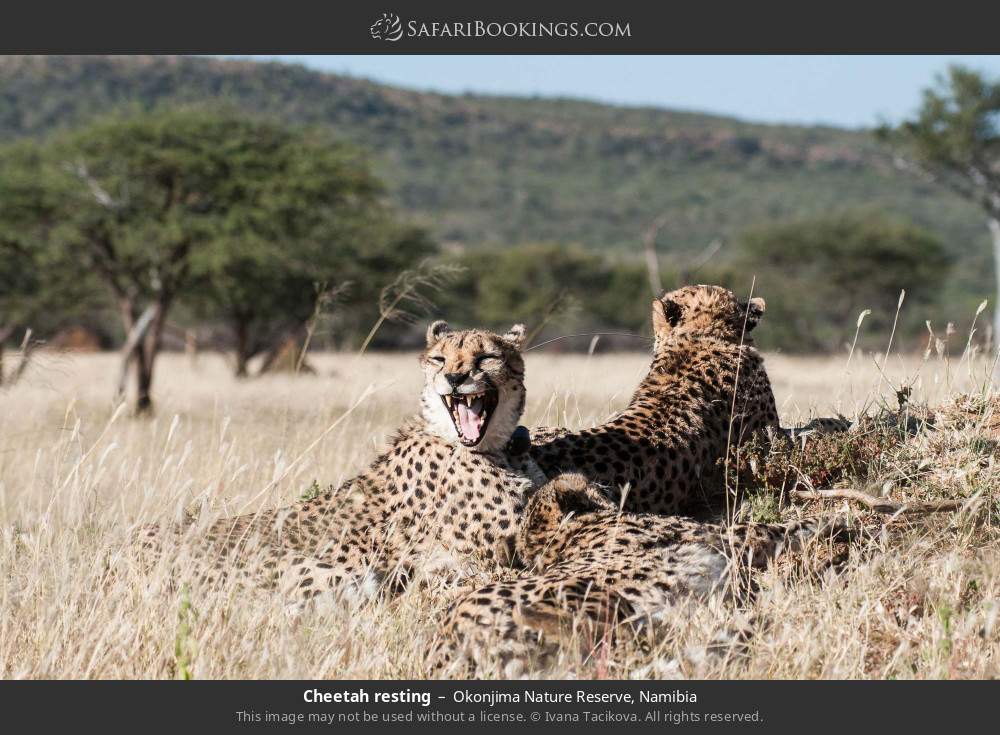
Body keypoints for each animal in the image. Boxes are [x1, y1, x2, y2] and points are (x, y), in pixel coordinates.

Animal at [136, 322, 548, 604]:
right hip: (336, 575)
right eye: (439, 359)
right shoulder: (495, 556)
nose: (454, 377)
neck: (496, 449)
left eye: (487, 357)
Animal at [434, 474, 848, 676]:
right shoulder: (725, 538)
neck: (560, 535)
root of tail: (446, 642)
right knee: (619, 648)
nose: (608, 485)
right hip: (595, 600)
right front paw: (847, 519)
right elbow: (784, 527)